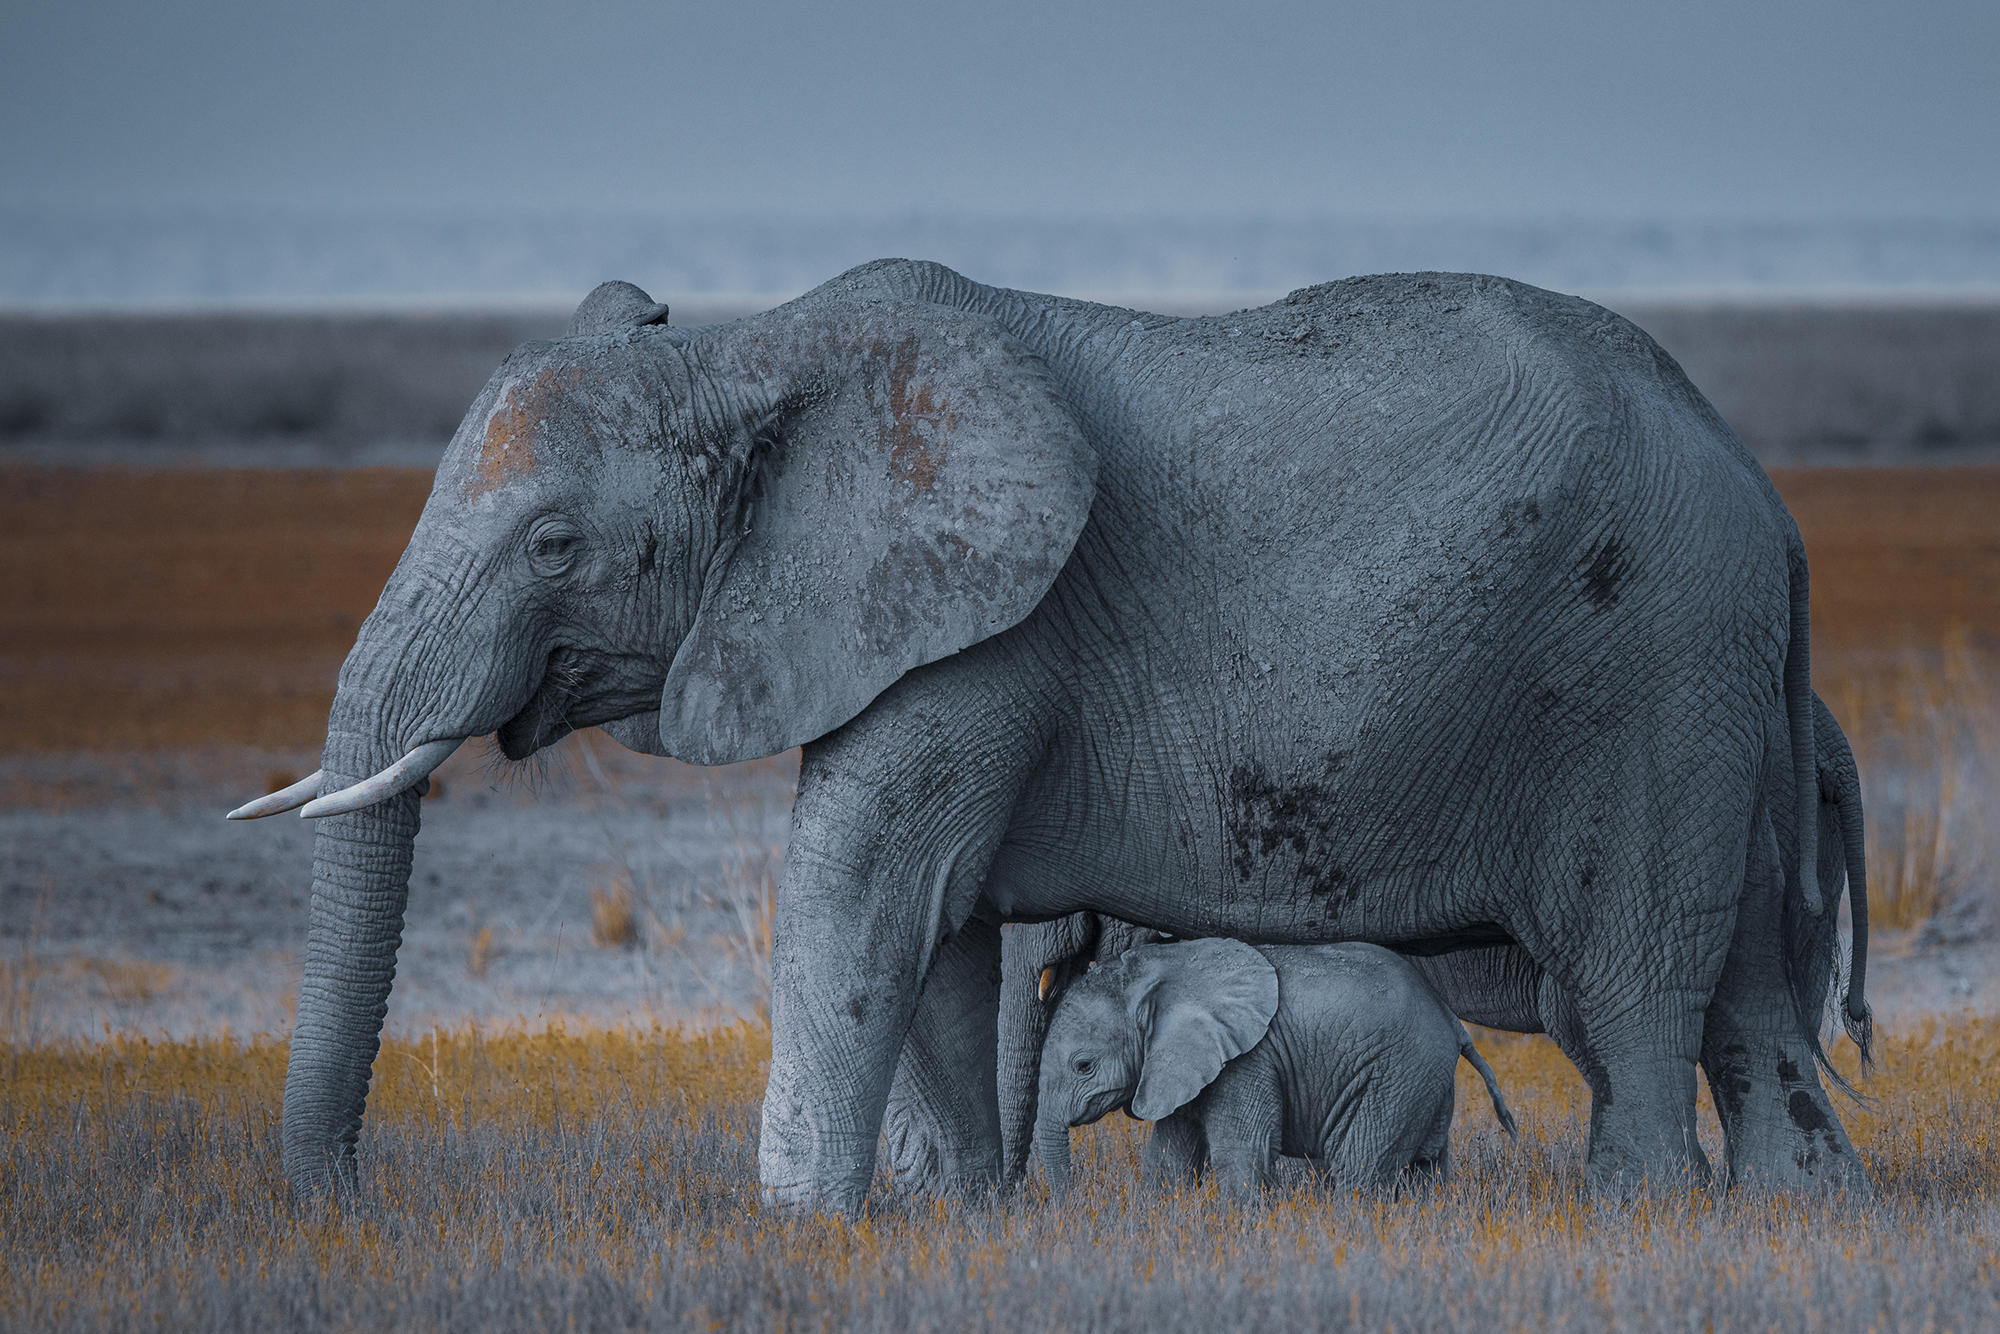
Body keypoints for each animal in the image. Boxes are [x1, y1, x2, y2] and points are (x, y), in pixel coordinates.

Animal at [1035, 939, 1518, 1196]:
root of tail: (1451, 1020)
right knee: (1425, 1168)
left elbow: (1241, 1152)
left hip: (1398, 1073)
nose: (1070, 1205)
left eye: (1083, 1066)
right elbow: (1169, 1159)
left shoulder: (1246, 1062)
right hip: (1426, 1078)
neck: (1159, 973)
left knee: (1358, 1167)